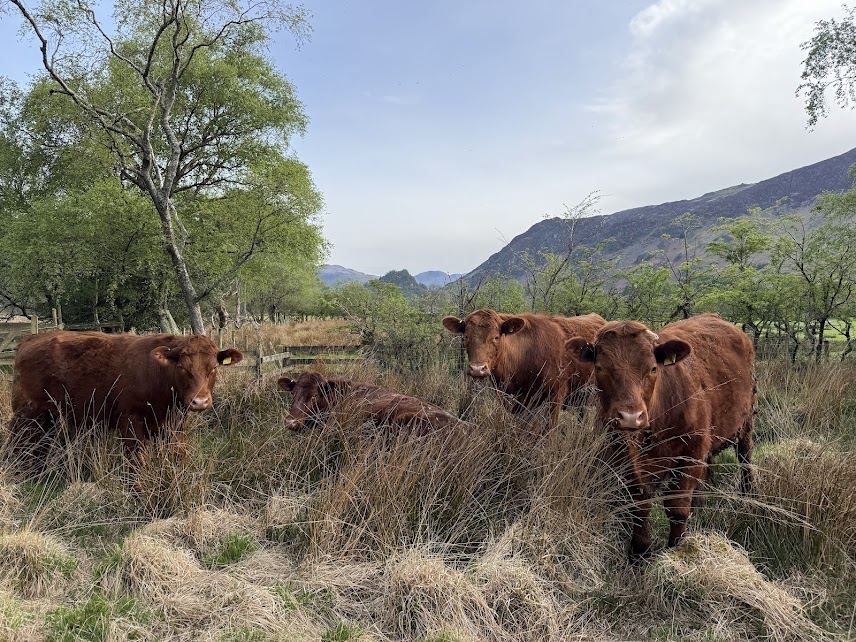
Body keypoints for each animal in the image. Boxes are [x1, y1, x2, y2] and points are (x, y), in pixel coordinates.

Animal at [4, 331, 242, 473]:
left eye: (213, 368)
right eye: (183, 368)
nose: (199, 401)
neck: (159, 375)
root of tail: (32, 338)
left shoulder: (173, 425)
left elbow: (177, 455)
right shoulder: (130, 421)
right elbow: (137, 460)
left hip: (48, 416)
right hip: (27, 414)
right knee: (17, 444)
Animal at [565, 313, 755, 559]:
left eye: (653, 369)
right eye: (600, 368)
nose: (630, 417)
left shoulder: (691, 453)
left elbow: (677, 508)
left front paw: (677, 548)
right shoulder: (624, 458)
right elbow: (639, 505)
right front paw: (639, 551)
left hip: (746, 422)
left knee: (745, 457)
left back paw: (747, 495)